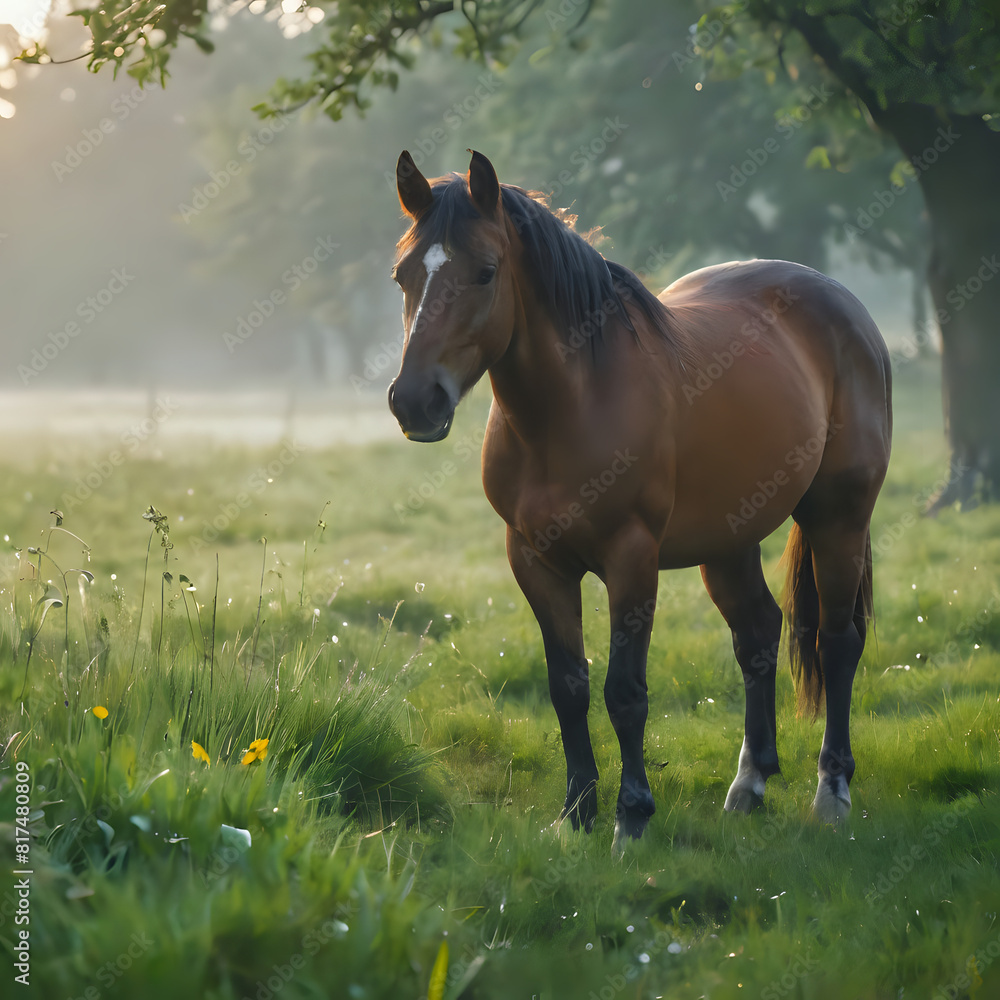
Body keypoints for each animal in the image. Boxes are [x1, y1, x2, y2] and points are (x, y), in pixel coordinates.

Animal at [387, 149, 892, 852]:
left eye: (485, 271)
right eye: (403, 274)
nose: (414, 401)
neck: (571, 409)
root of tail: (848, 308)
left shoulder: (632, 559)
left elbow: (625, 691)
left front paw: (631, 818)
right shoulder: (536, 562)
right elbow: (568, 687)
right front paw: (575, 815)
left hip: (837, 518)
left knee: (837, 644)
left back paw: (832, 792)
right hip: (729, 539)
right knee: (758, 635)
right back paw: (749, 785)